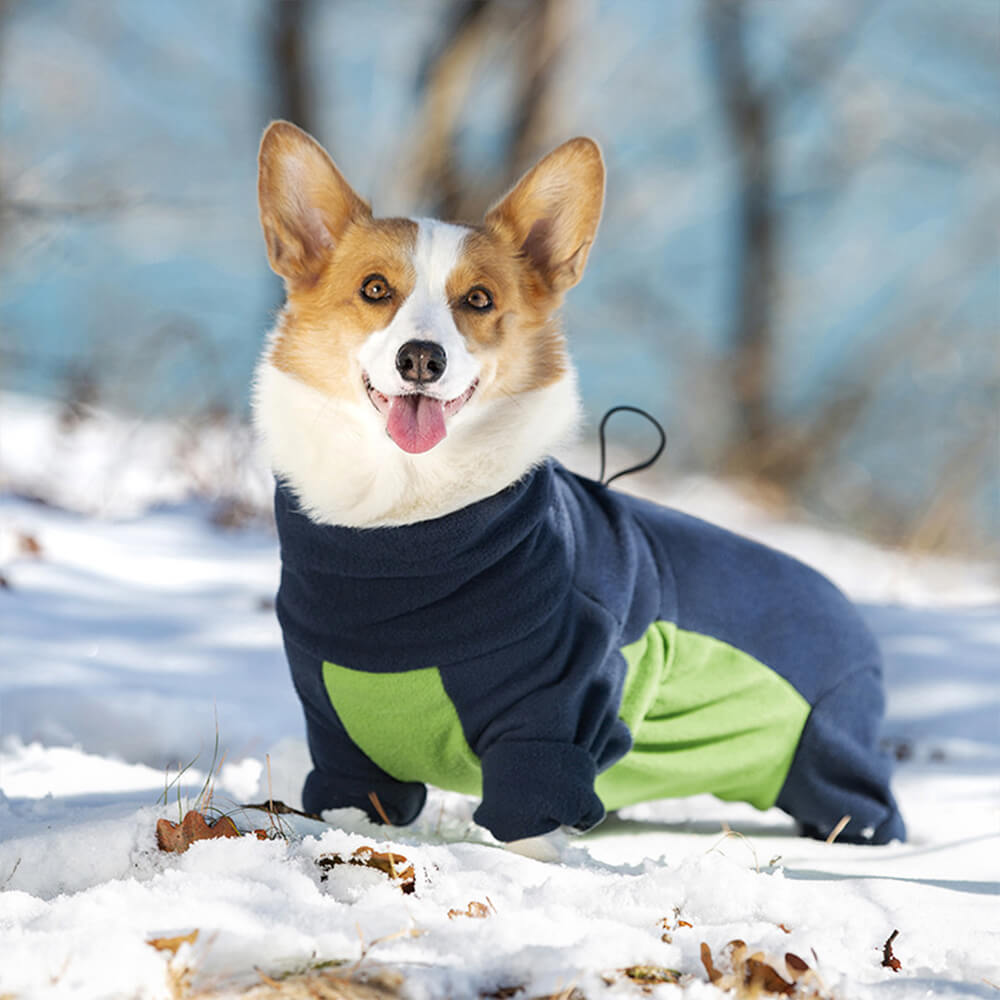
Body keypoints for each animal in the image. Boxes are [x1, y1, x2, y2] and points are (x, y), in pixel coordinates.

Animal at [252, 121, 908, 848]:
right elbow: (349, 808)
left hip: (826, 766)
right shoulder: (339, 734)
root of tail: (849, 610)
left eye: (478, 300)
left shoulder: (553, 722)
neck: (402, 524)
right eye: (374, 289)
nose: (421, 359)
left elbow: (530, 825)